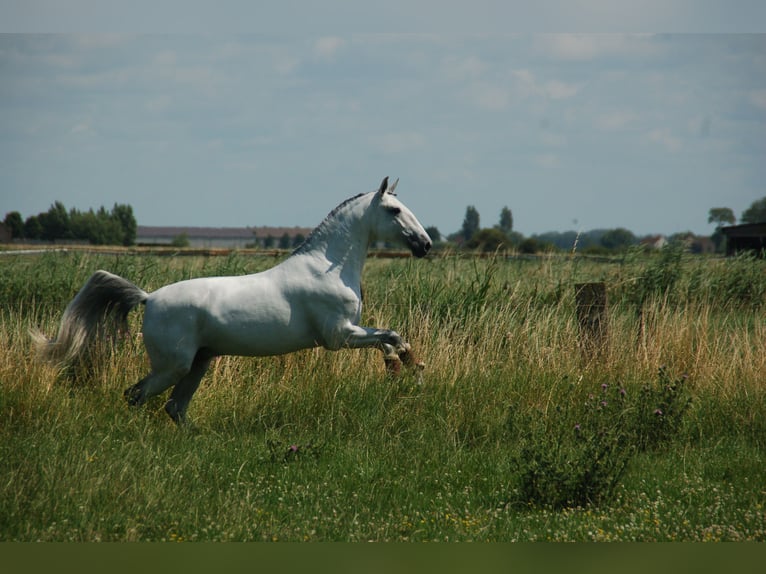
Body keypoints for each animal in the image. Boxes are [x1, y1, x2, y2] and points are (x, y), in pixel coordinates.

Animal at [34, 178, 432, 426]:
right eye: (394, 211)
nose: (425, 245)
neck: (327, 267)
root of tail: (149, 298)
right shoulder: (338, 336)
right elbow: (390, 335)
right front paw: (409, 368)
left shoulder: (350, 331)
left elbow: (389, 338)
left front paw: (404, 369)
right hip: (173, 366)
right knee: (137, 395)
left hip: (198, 364)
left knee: (174, 407)